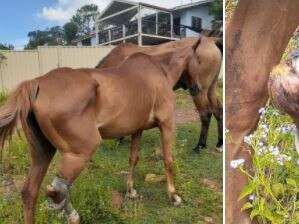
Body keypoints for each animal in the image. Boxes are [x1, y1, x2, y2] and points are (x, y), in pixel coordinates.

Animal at [0, 37, 202, 223]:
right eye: (199, 61)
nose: (198, 89)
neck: (160, 70)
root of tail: (37, 82)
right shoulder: (167, 124)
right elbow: (168, 160)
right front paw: (174, 196)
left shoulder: (137, 129)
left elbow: (133, 158)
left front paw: (130, 190)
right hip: (80, 153)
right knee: (58, 191)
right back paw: (73, 216)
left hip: (43, 153)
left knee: (30, 192)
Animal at [95, 36, 224, 153]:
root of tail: (210, 40)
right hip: (210, 90)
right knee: (218, 111)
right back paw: (220, 143)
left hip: (200, 92)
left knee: (205, 114)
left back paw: (199, 146)